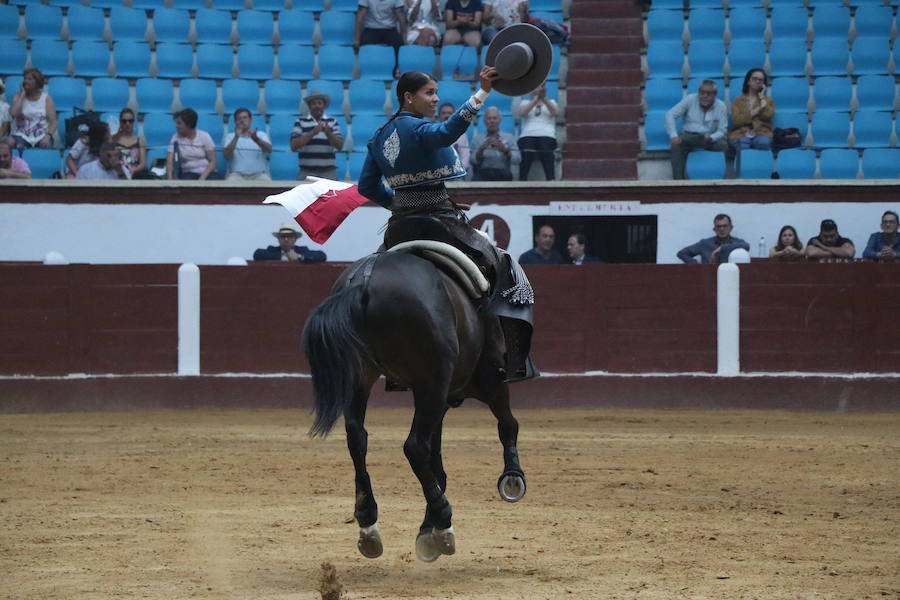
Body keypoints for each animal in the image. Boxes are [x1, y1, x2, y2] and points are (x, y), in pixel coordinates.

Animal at [304, 250, 528, 564]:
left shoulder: (440, 396)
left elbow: (437, 458)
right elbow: (507, 424)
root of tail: (365, 279)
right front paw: (513, 477)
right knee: (415, 446)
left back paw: (369, 525)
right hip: (435, 382)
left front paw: (426, 529)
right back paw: (444, 523)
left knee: (357, 437)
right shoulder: (485, 379)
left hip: (361, 376)